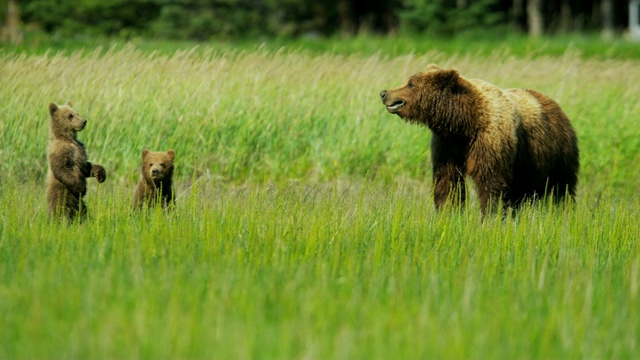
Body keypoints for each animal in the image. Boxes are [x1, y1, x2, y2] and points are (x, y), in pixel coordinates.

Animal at [380, 64, 580, 217]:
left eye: (410, 84)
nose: (384, 93)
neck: (463, 123)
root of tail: (557, 106)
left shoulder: (489, 140)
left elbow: (490, 182)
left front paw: (490, 216)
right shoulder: (447, 144)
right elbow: (447, 180)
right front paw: (448, 213)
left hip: (556, 153)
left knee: (560, 188)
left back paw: (563, 210)